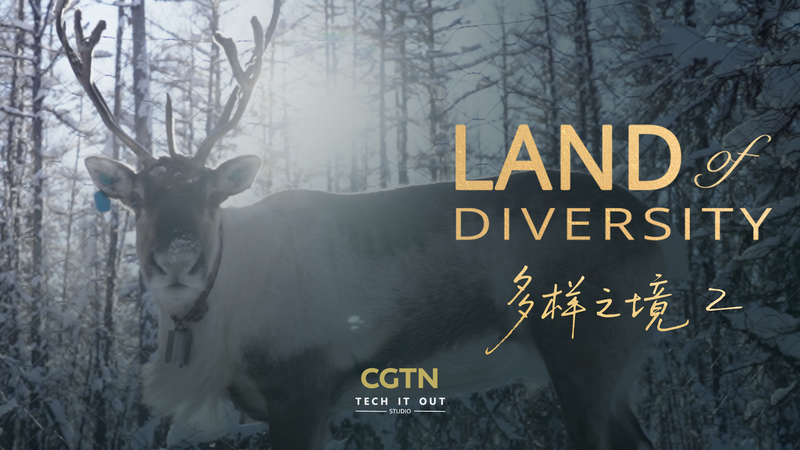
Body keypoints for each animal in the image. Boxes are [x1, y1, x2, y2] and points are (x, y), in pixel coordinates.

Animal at [57, 0, 682, 448]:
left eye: (212, 197)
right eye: (138, 199)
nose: (179, 256)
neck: (225, 311)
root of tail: (654, 227)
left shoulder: (302, 388)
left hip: (585, 350)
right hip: (618, 369)